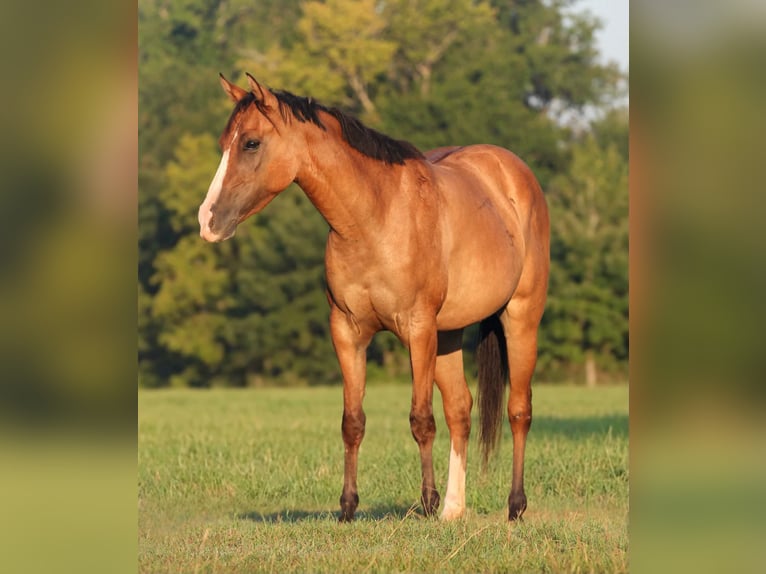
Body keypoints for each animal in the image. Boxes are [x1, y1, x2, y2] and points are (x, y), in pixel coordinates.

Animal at [198, 74, 549, 522]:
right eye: (225, 141)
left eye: (251, 143)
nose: (208, 220)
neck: (374, 218)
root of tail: (512, 172)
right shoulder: (348, 332)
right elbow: (353, 421)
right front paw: (348, 507)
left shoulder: (418, 330)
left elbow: (421, 419)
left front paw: (426, 501)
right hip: (448, 335)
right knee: (460, 410)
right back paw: (453, 510)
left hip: (519, 318)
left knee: (518, 411)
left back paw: (514, 506)